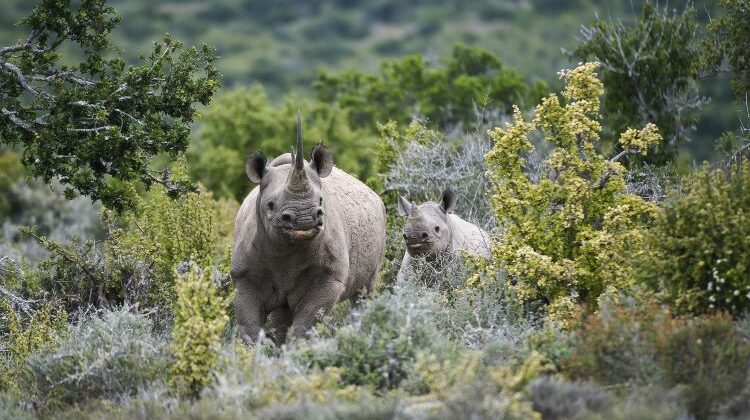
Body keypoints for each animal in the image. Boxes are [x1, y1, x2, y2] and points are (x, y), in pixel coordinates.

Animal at [232, 113, 386, 343]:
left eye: (321, 201)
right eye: (270, 205)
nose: (304, 218)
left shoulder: (330, 277)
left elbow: (304, 324)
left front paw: (296, 349)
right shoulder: (244, 276)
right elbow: (249, 327)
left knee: (363, 291)